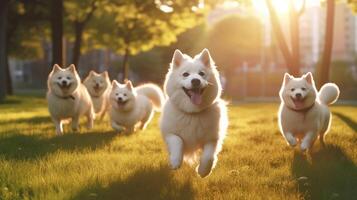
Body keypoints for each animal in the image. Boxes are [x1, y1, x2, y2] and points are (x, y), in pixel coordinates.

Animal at [159, 49, 227, 177]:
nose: (195, 80)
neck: (193, 113)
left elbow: (208, 157)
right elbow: (177, 142)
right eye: (186, 74)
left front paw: (203, 171)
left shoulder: (212, 139)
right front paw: (175, 161)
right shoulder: (170, 133)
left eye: (201, 73)